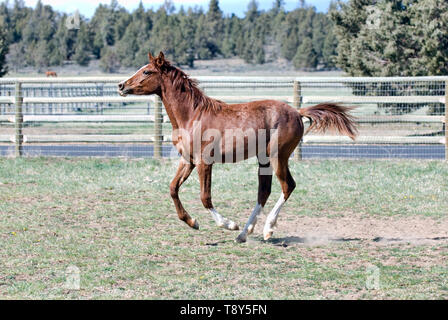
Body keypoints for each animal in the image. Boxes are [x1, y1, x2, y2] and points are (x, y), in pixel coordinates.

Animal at [118, 52, 356, 242]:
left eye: (147, 71)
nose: (121, 86)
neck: (192, 116)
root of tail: (297, 112)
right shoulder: (188, 161)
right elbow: (172, 188)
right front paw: (192, 222)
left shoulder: (205, 162)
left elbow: (205, 197)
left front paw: (228, 224)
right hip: (264, 160)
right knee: (264, 191)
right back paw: (244, 233)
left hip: (278, 156)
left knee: (288, 186)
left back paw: (266, 229)